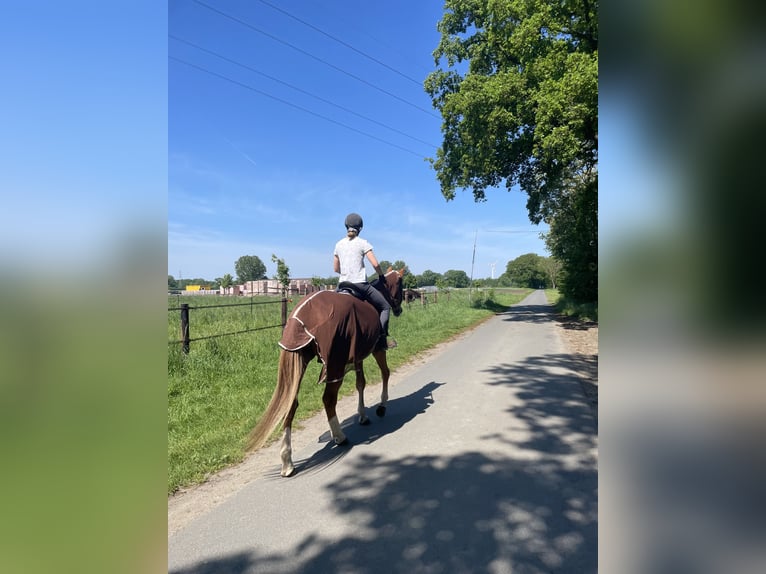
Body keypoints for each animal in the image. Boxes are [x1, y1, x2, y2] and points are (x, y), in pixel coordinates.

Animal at [249, 268, 412, 476]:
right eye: (401, 284)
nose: (399, 310)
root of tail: (299, 316)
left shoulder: (357, 356)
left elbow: (361, 383)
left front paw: (363, 415)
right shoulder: (377, 349)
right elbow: (385, 373)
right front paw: (381, 407)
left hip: (299, 360)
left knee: (291, 405)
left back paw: (287, 461)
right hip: (335, 365)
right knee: (328, 399)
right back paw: (340, 437)